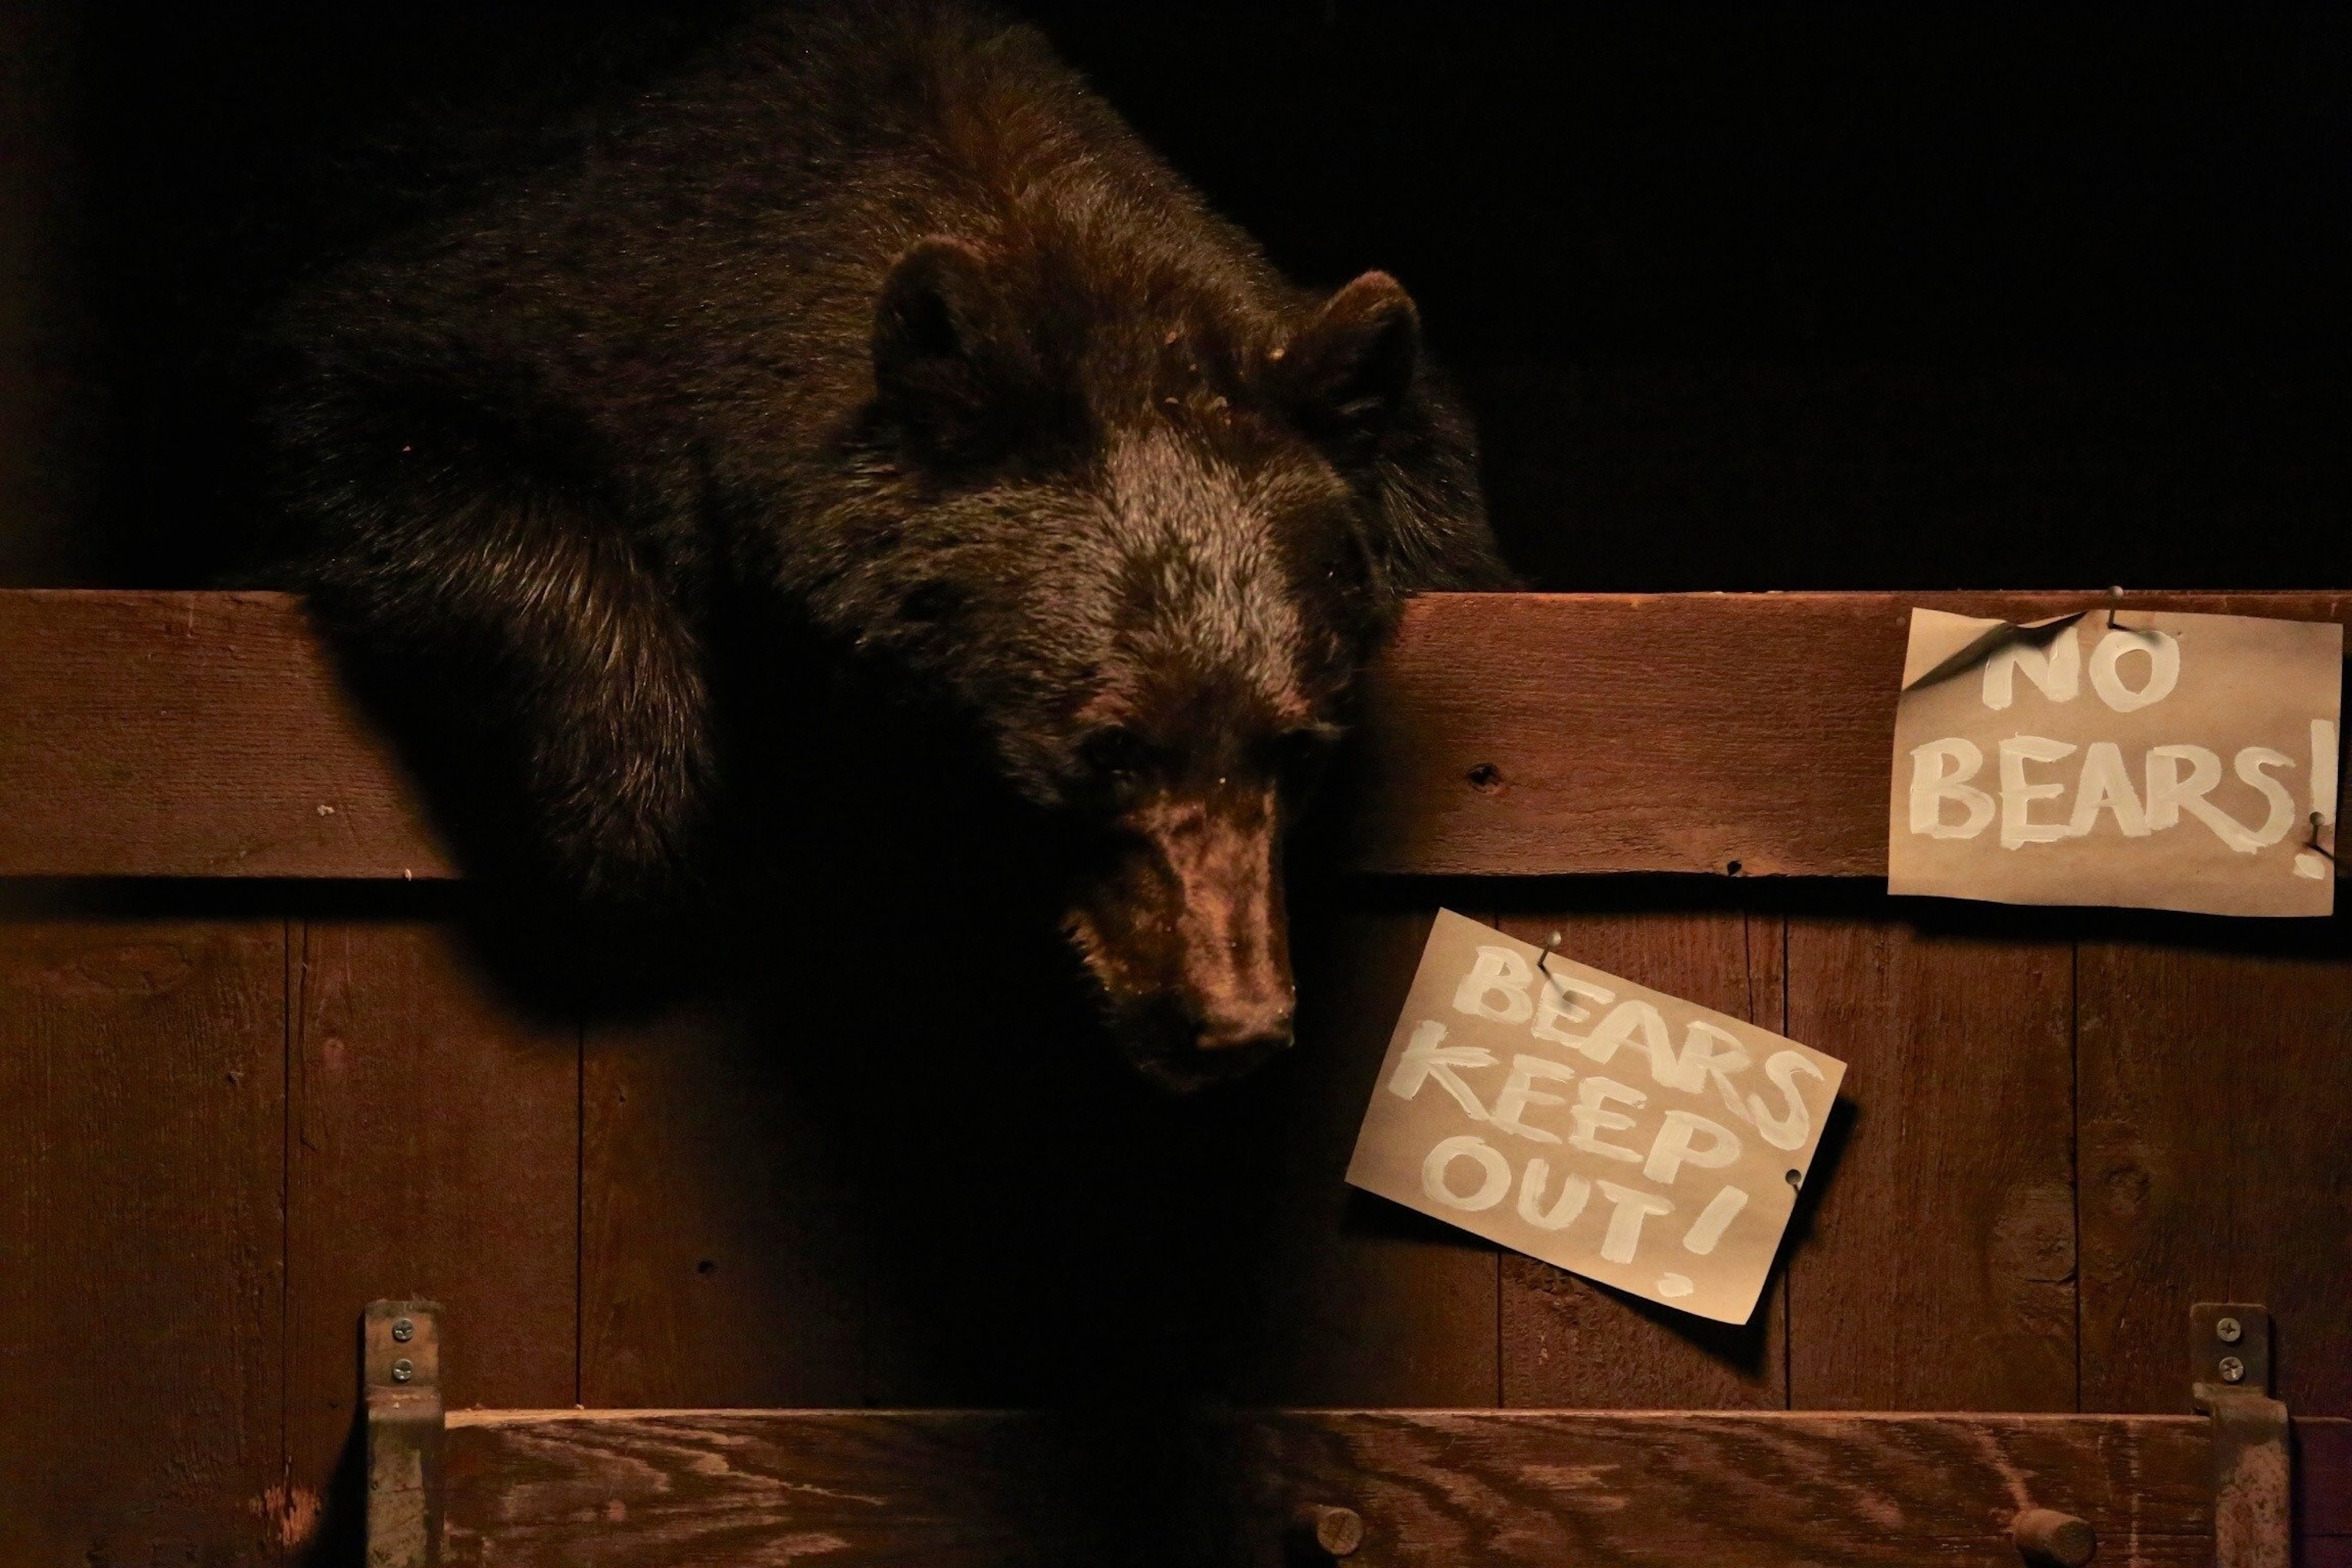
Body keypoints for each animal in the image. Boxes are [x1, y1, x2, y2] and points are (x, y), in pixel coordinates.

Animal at [263, 0, 1509, 1088]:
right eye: (1104, 749)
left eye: (1297, 749)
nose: (1232, 1023)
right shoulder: (540, 299)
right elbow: (369, 400)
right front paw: (620, 832)